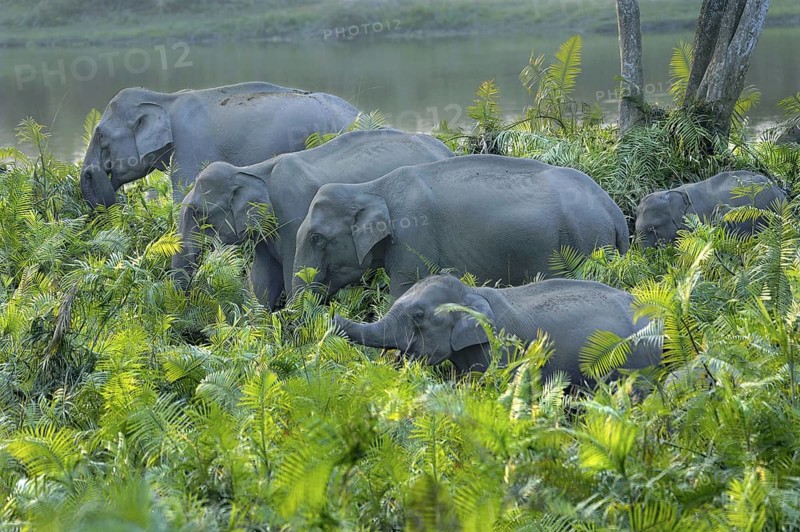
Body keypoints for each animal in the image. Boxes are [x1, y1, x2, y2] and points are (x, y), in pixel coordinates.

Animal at [292, 154, 630, 299]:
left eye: (318, 239)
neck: (372, 187)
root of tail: (613, 211)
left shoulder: (414, 238)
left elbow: (405, 290)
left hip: (587, 241)